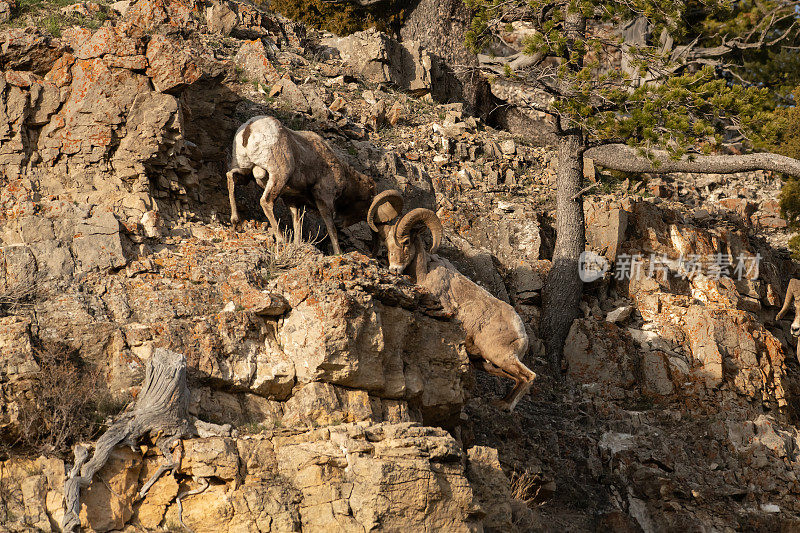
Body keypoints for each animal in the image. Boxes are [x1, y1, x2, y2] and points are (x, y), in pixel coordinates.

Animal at [225, 114, 376, 254]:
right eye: (367, 202)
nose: (341, 223)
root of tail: (249, 128)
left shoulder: (292, 201)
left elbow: (297, 224)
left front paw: (297, 245)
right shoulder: (324, 200)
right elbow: (331, 227)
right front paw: (338, 253)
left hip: (245, 171)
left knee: (230, 177)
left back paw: (235, 222)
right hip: (278, 175)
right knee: (266, 201)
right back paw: (281, 239)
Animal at [370, 191, 536, 412]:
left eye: (405, 242)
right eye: (387, 245)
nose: (394, 269)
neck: (424, 274)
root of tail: (521, 332)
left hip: (499, 355)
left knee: (528, 376)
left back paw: (505, 405)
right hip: (488, 363)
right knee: (516, 377)